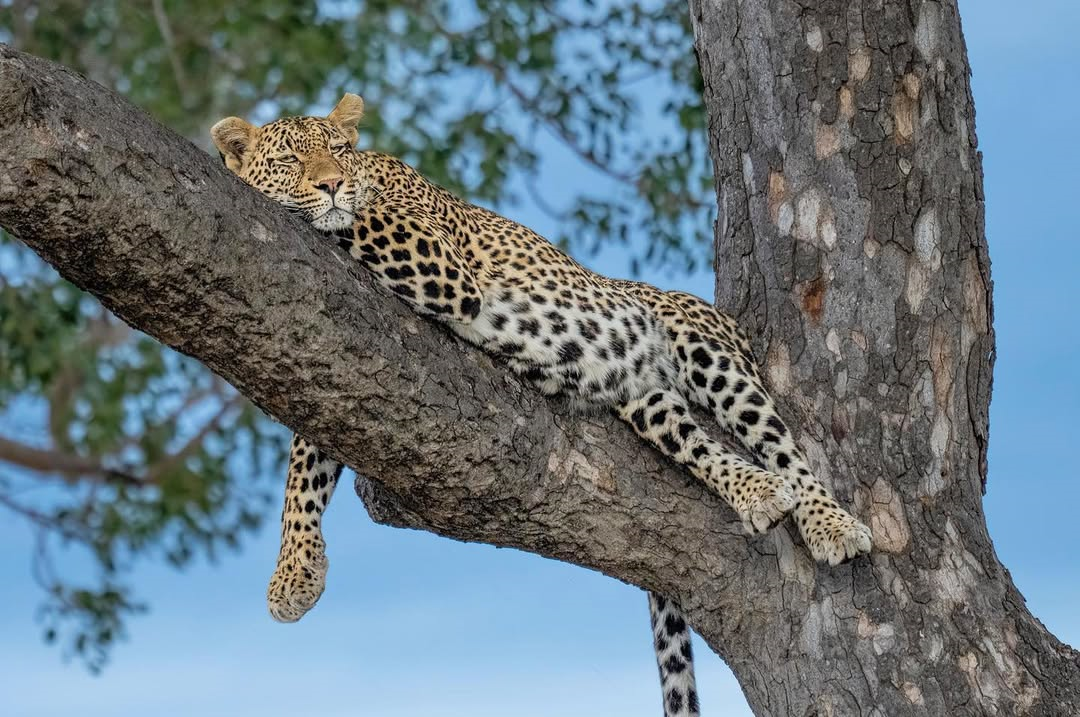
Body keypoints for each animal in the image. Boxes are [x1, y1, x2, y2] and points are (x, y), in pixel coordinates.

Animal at [211, 94, 873, 717]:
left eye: (339, 151)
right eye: (290, 160)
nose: (330, 183)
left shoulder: (438, 263)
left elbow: (359, 216)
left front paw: (337, 199)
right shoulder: (340, 335)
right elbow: (305, 462)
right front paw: (293, 572)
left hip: (703, 346)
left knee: (783, 446)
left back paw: (830, 524)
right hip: (645, 398)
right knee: (702, 445)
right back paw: (756, 492)